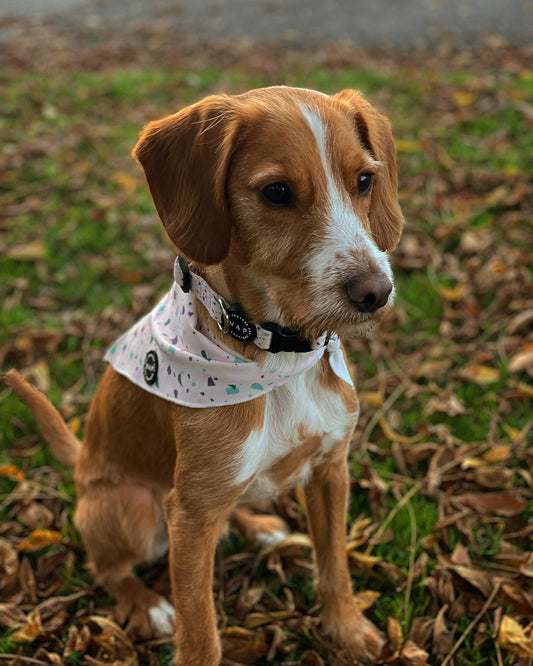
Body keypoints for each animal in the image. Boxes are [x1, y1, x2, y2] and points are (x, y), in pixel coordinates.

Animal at [5, 85, 404, 660]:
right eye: (277, 192)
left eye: (366, 181)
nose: (375, 292)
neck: (277, 357)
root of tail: (80, 464)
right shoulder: (190, 519)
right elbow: (200, 630)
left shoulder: (331, 468)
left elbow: (335, 565)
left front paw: (348, 629)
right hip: (138, 508)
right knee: (108, 567)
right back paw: (145, 602)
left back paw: (258, 526)